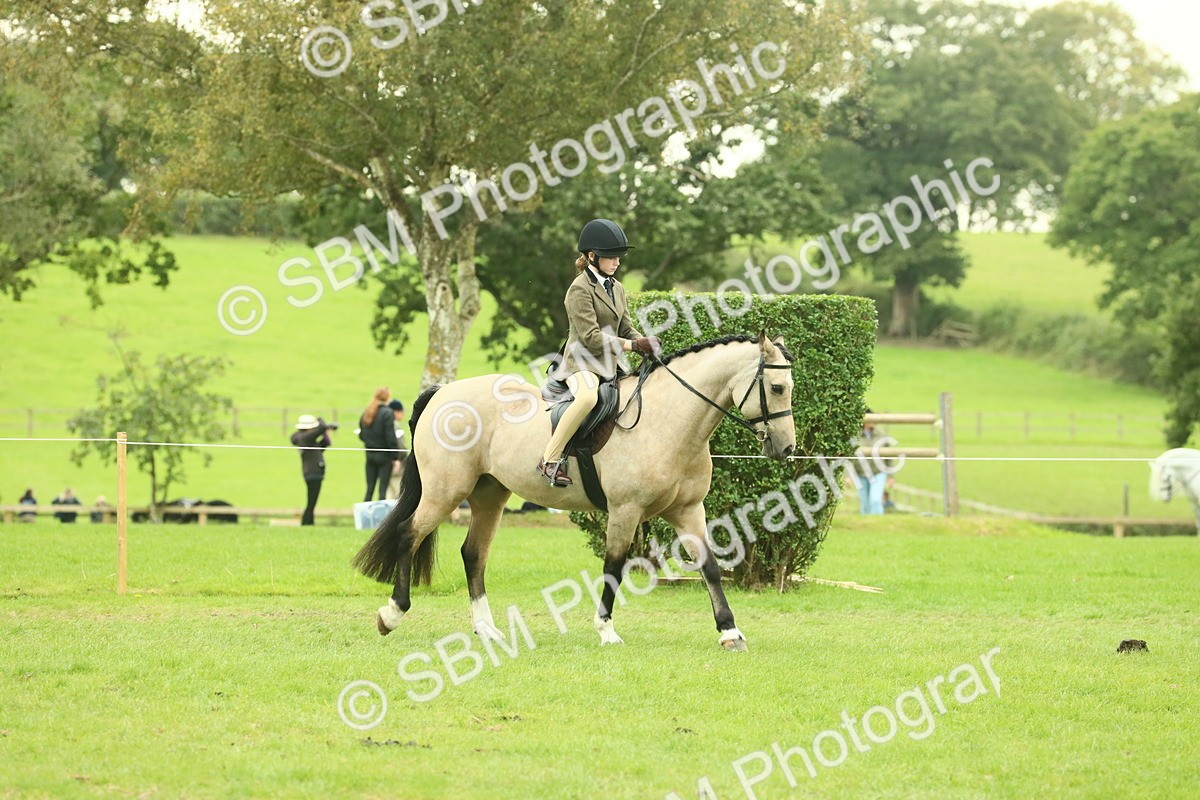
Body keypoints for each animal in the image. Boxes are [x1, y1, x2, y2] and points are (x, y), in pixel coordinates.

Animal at [352, 332, 797, 651]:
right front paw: (606, 630)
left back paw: (487, 630)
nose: (786, 449)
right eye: (777, 388)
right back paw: (392, 614)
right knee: (410, 534)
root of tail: (443, 392)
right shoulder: (625, 510)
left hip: (489, 495)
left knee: (473, 553)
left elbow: (709, 566)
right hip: (445, 491)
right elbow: (614, 567)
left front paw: (730, 632)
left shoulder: (688, 510)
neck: (669, 420)